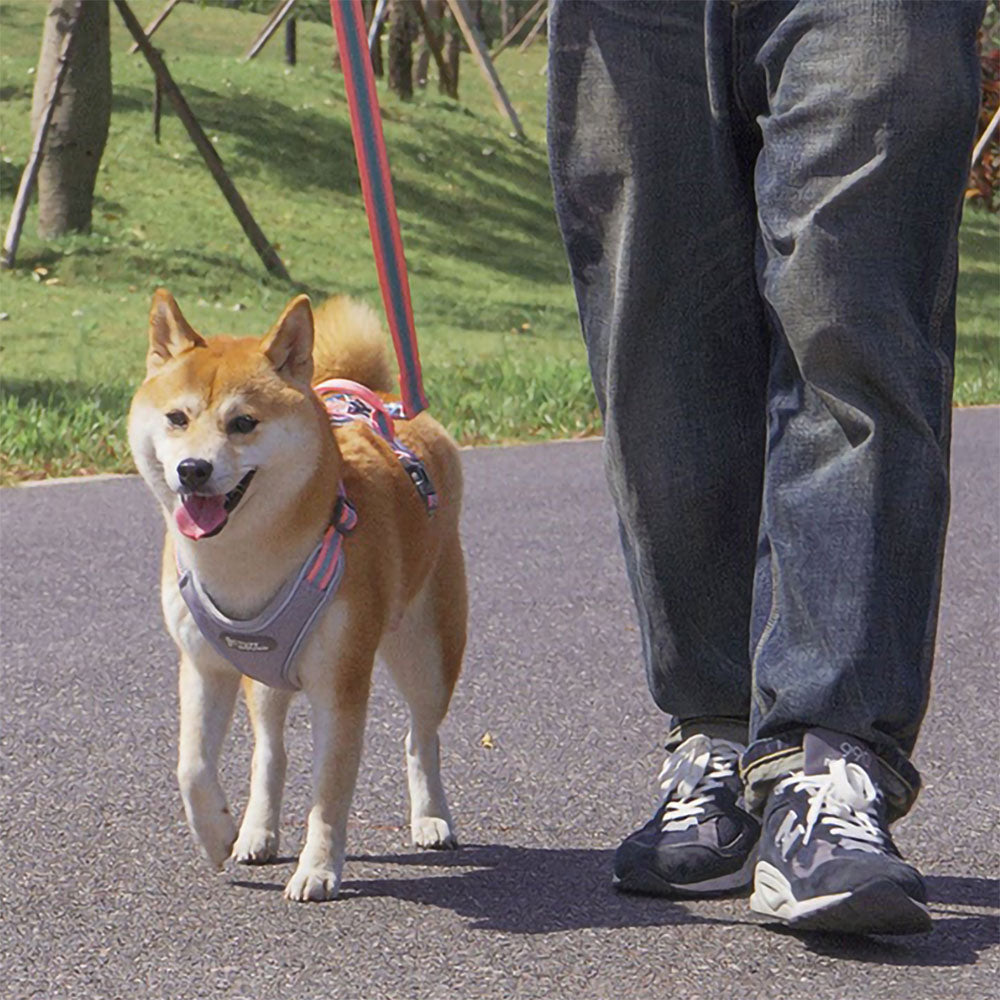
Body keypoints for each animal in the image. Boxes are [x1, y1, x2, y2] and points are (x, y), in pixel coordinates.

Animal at [128, 288, 464, 900]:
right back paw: (256, 832)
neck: (247, 562)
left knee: (420, 735)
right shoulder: (204, 666)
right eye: (176, 418)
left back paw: (432, 817)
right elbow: (192, 768)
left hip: (427, 651)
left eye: (243, 422)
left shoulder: (342, 685)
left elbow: (329, 794)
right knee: (271, 751)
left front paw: (319, 868)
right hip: (263, 679)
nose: (192, 469)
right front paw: (215, 834)